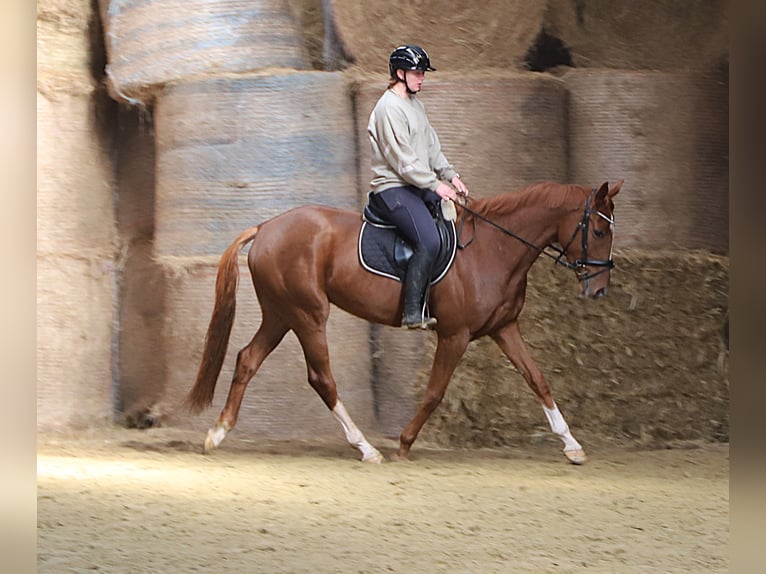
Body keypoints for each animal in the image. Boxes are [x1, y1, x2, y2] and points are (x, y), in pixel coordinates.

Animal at [185, 179, 623, 464]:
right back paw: (366, 448)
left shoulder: (504, 329)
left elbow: (538, 380)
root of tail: (266, 227)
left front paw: (572, 445)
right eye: (599, 230)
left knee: (247, 359)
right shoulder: (455, 335)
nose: (600, 290)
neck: (494, 249)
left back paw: (217, 433)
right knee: (321, 377)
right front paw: (405, 443)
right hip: (307, 315)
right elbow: (434, 392)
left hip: (281, 313)